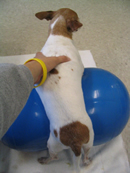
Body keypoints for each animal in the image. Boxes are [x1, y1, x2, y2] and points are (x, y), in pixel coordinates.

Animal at [35, 8, 94, 173]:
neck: (58, 35)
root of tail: (75, 141)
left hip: (80, 142)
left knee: (79, 157)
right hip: (66, 143)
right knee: (60, 157)